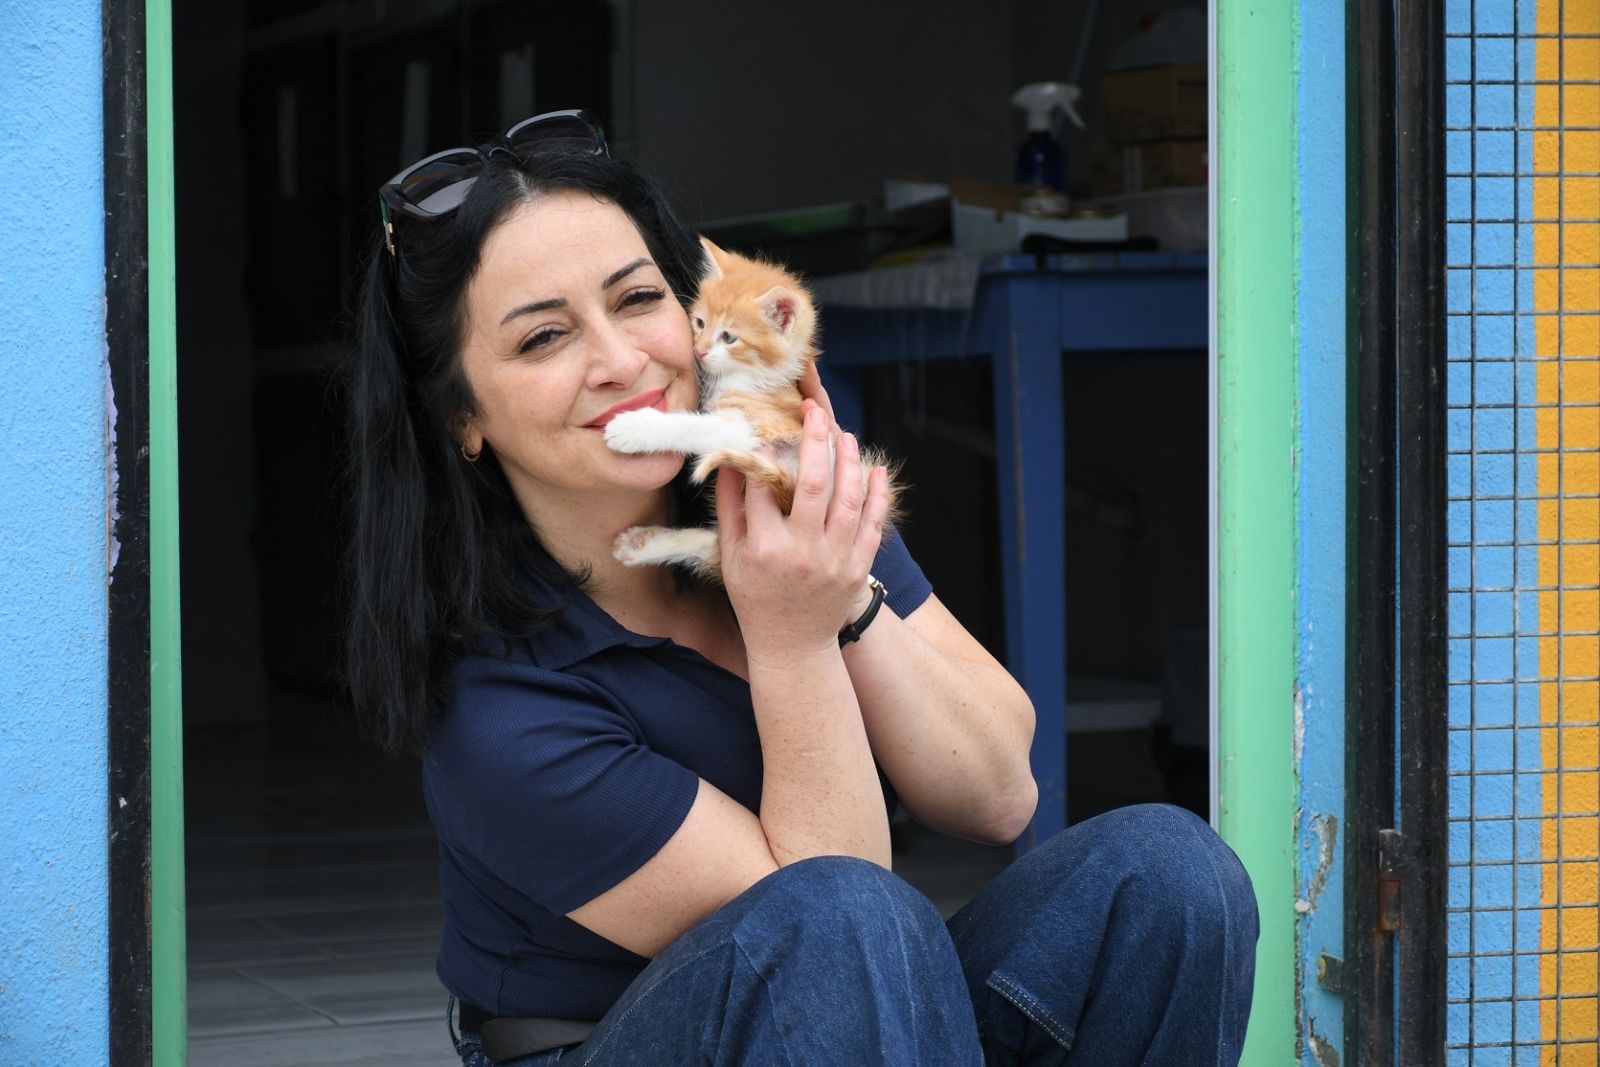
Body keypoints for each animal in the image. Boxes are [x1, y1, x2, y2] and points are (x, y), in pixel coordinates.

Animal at [602, 237, 899, 580]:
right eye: (699, 323)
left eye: (729, 337)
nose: (698, 350)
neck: (751, 377)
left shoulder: (757, 429)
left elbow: (696, 425)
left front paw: (633, 427)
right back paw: (642, 544)